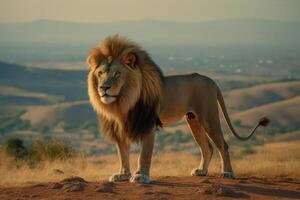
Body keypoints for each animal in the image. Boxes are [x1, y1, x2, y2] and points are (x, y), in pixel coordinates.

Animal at [86, 35, 270, 184]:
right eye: (100, 73)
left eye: (117, 74)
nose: (104, 88)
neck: (122, 102)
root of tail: (211, 80)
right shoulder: (119, 128)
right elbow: (123, 153)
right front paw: (122, 175)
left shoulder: (148, 124)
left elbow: (144, 155)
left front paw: (140, 176)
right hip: (193, 120)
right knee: (207, 147)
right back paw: (202, 171)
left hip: (208, 117)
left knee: (223, 145)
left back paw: (228, 173)